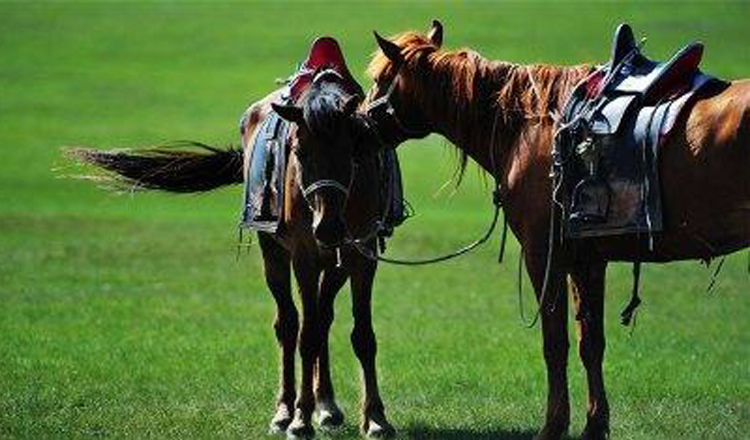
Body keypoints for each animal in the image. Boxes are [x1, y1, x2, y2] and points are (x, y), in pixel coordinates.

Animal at [68, 70, 396, 438]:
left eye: (350, 150)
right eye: (299, 151)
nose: (326, 228)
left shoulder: (362, 255)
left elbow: (362, 336)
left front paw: (376, 419)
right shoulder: (304, 258)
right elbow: (306, 337)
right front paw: (300, 419)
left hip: (335, 265)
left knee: (322, 318)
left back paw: (326, 406)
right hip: (275, 255)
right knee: (289, 324)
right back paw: (285, 410)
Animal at [362, 19, 748, 440]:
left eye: (381, 79)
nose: (358, 120)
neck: (527, 126)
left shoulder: (543, 255)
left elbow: (555, 343)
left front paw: (553, 425)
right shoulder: (587, 259)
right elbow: (590, 342)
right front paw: (595, 424)